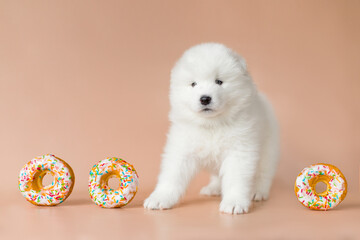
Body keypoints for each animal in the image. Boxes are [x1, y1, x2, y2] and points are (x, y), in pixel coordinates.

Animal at [143, 42, 278, 214]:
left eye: (219, 82)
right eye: (193, 84)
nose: (205, 99)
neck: (212, 124)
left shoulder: (239, 151)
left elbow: (235, 179)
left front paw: (234, 203)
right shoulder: (182, 149)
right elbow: (172, 176)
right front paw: (160, 198)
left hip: (268, 149)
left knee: (263, 173)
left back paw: (258, 192)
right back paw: (213, 188)